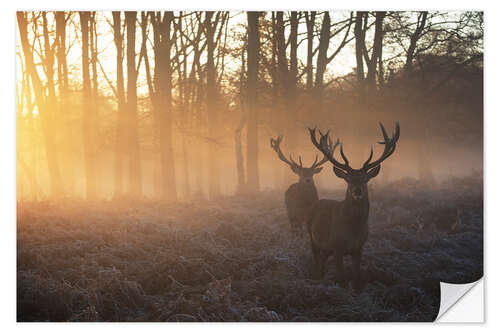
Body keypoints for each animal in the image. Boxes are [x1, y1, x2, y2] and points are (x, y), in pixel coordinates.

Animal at [304, 120, 398, 290]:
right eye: (348, 180)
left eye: (365, 179)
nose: (357, 190)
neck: (353, 230)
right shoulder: (337, 247)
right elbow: (342, 279)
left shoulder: (359, 248)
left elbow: (357, 278)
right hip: (313, 238)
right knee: (316, 263)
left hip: (326, 248)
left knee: (321, 263)